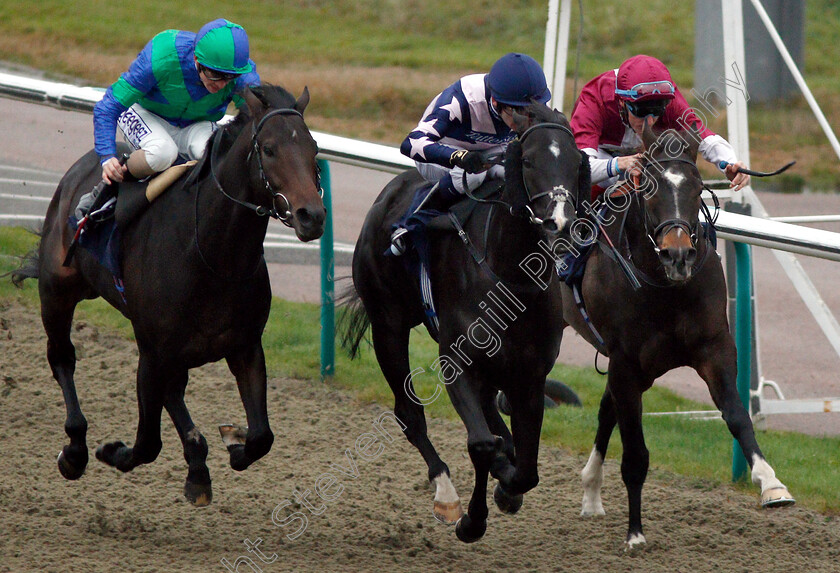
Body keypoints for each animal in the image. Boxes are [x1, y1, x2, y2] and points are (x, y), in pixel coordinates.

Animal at [10, 85, 324, 504]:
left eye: (314, 149)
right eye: (270, 149)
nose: (312, 216)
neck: (212, 254)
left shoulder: (245, 345)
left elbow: (262, 437)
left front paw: (232, 443)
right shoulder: (152, 350)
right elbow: (147, 443)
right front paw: (113, 451)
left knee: (175, 391)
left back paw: (197, 464)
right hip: (56, 291)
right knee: (62, 358)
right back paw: (75, 451)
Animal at [342, 103, 592, 540]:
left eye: (576, 161)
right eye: (529, 160)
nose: (559, 223)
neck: (509, 275)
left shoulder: (530, 376)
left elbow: (526, 470)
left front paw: (508, 486)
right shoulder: (457, 364)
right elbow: (481, 445)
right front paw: (472, 519)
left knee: (492, 418)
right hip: (388, 325)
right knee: (410, 415)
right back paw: (445, 493)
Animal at [564, 126, 796, 548]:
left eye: (698, 186)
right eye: (648, 189)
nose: (679, 255)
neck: (665, 286)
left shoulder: (712, 348)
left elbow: (737, 416)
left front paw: (771, 484)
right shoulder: (626, 362)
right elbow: (635, 453)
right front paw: (635, 533)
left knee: (606, 409)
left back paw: (591, 492)